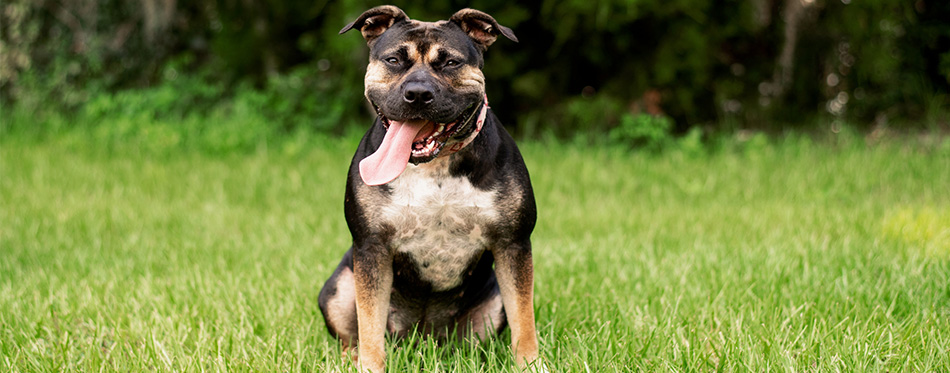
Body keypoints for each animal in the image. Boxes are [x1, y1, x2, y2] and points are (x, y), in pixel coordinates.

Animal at [318, 5, 544, 372]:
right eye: (394, 60)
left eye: (450, 62)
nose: (418, 93)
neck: (434, 166)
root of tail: (422, 339)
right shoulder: (371, 248)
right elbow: (369, 323)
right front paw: (369, 365)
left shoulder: (513, 245)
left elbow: (524, 318)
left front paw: (530, 363)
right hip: (338, 288)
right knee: (352, 334)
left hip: (490, 304)